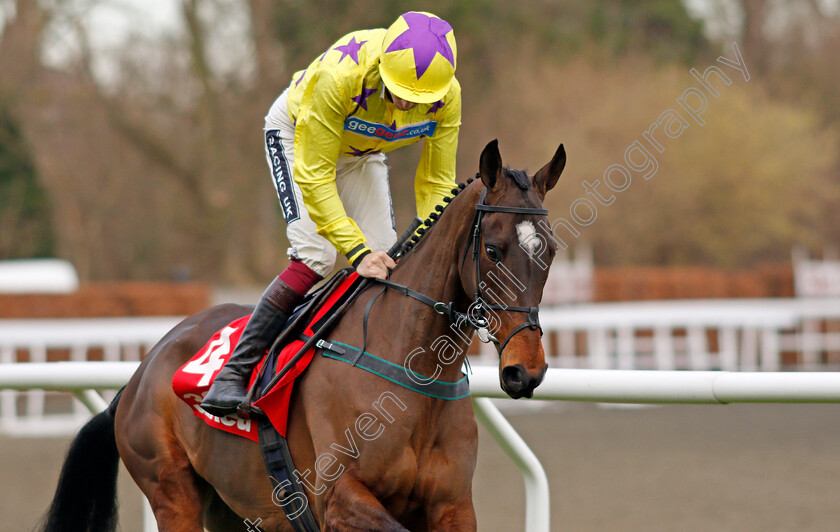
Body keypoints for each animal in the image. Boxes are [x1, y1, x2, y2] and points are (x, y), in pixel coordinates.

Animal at [39, 139, 564, 528]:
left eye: (552, 251)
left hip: (231, 506)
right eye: (493, 250)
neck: (409, 370)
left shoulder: (452, 505)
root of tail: (139, 374)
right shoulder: (338, 498)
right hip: (171, 490)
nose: (526, 370)